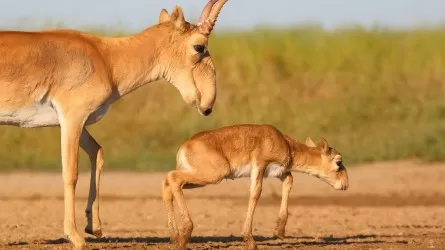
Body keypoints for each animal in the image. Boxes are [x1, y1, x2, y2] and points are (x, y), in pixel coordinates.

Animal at [0, 0, 227, 248]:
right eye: (199, 47)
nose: (208, 104)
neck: (107, 58)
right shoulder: (72, 117)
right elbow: (71, 172)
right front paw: (75, 236)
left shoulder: (79, 123)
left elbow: (97, 153)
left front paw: (94, 227)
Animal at [161, 124, 348, 249]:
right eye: (338, 162)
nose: (345, 184)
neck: (286, 144)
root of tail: (185, 147)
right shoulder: (260, 165)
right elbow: (256, 193)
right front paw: (250, 240)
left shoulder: (279, 172)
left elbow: (289, 181)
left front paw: (279, 231)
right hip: (213, 175)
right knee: (172, 178)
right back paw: (184, 234)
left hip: (196, 179)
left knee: (168, 183)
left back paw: (175, 237)